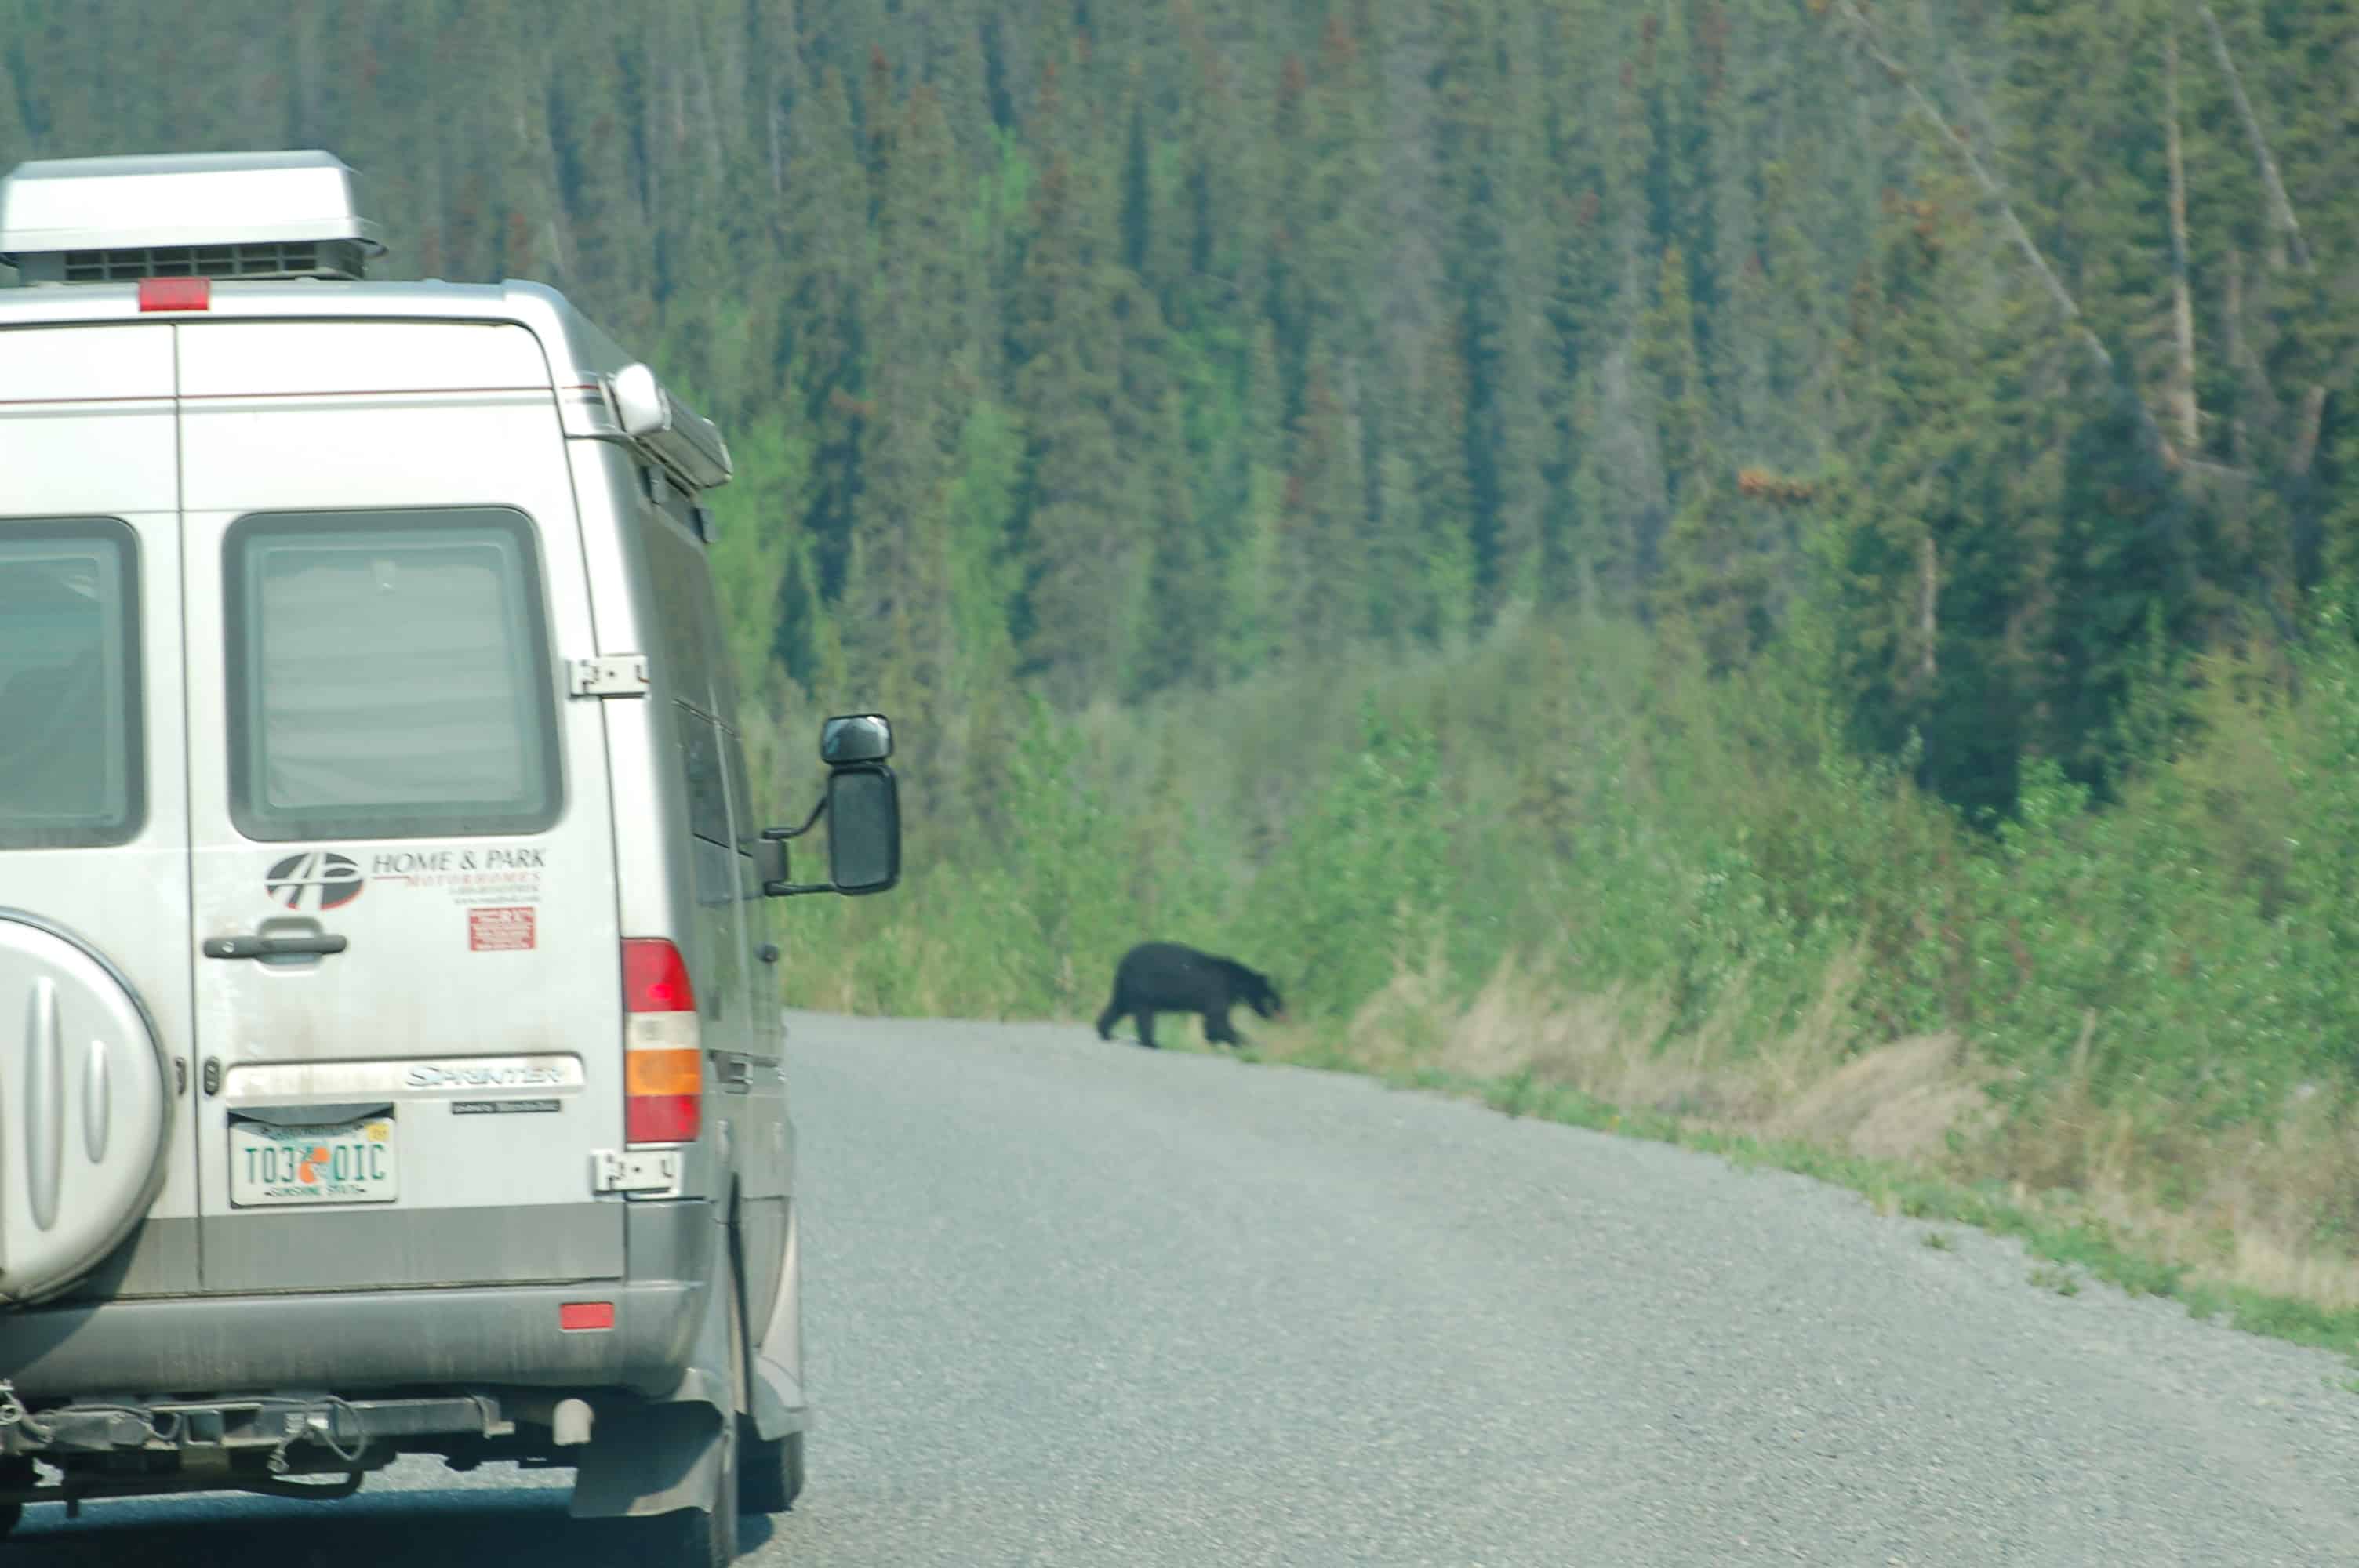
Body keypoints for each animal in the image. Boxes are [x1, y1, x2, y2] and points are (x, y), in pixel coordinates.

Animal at [1094, 940, 1285, 1050]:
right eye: (1273, 999)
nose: (1278, 1015)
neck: (1234, 981)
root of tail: (1123, 962)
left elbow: (1213, 1024)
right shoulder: (1217, 991)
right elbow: (1217, 1022)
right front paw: (1246, 1042)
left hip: (1126, 990)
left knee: (1117, 1007)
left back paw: (1105, 1032)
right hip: (1143, 989)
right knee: (1145, 1016)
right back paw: (1152, 1043)